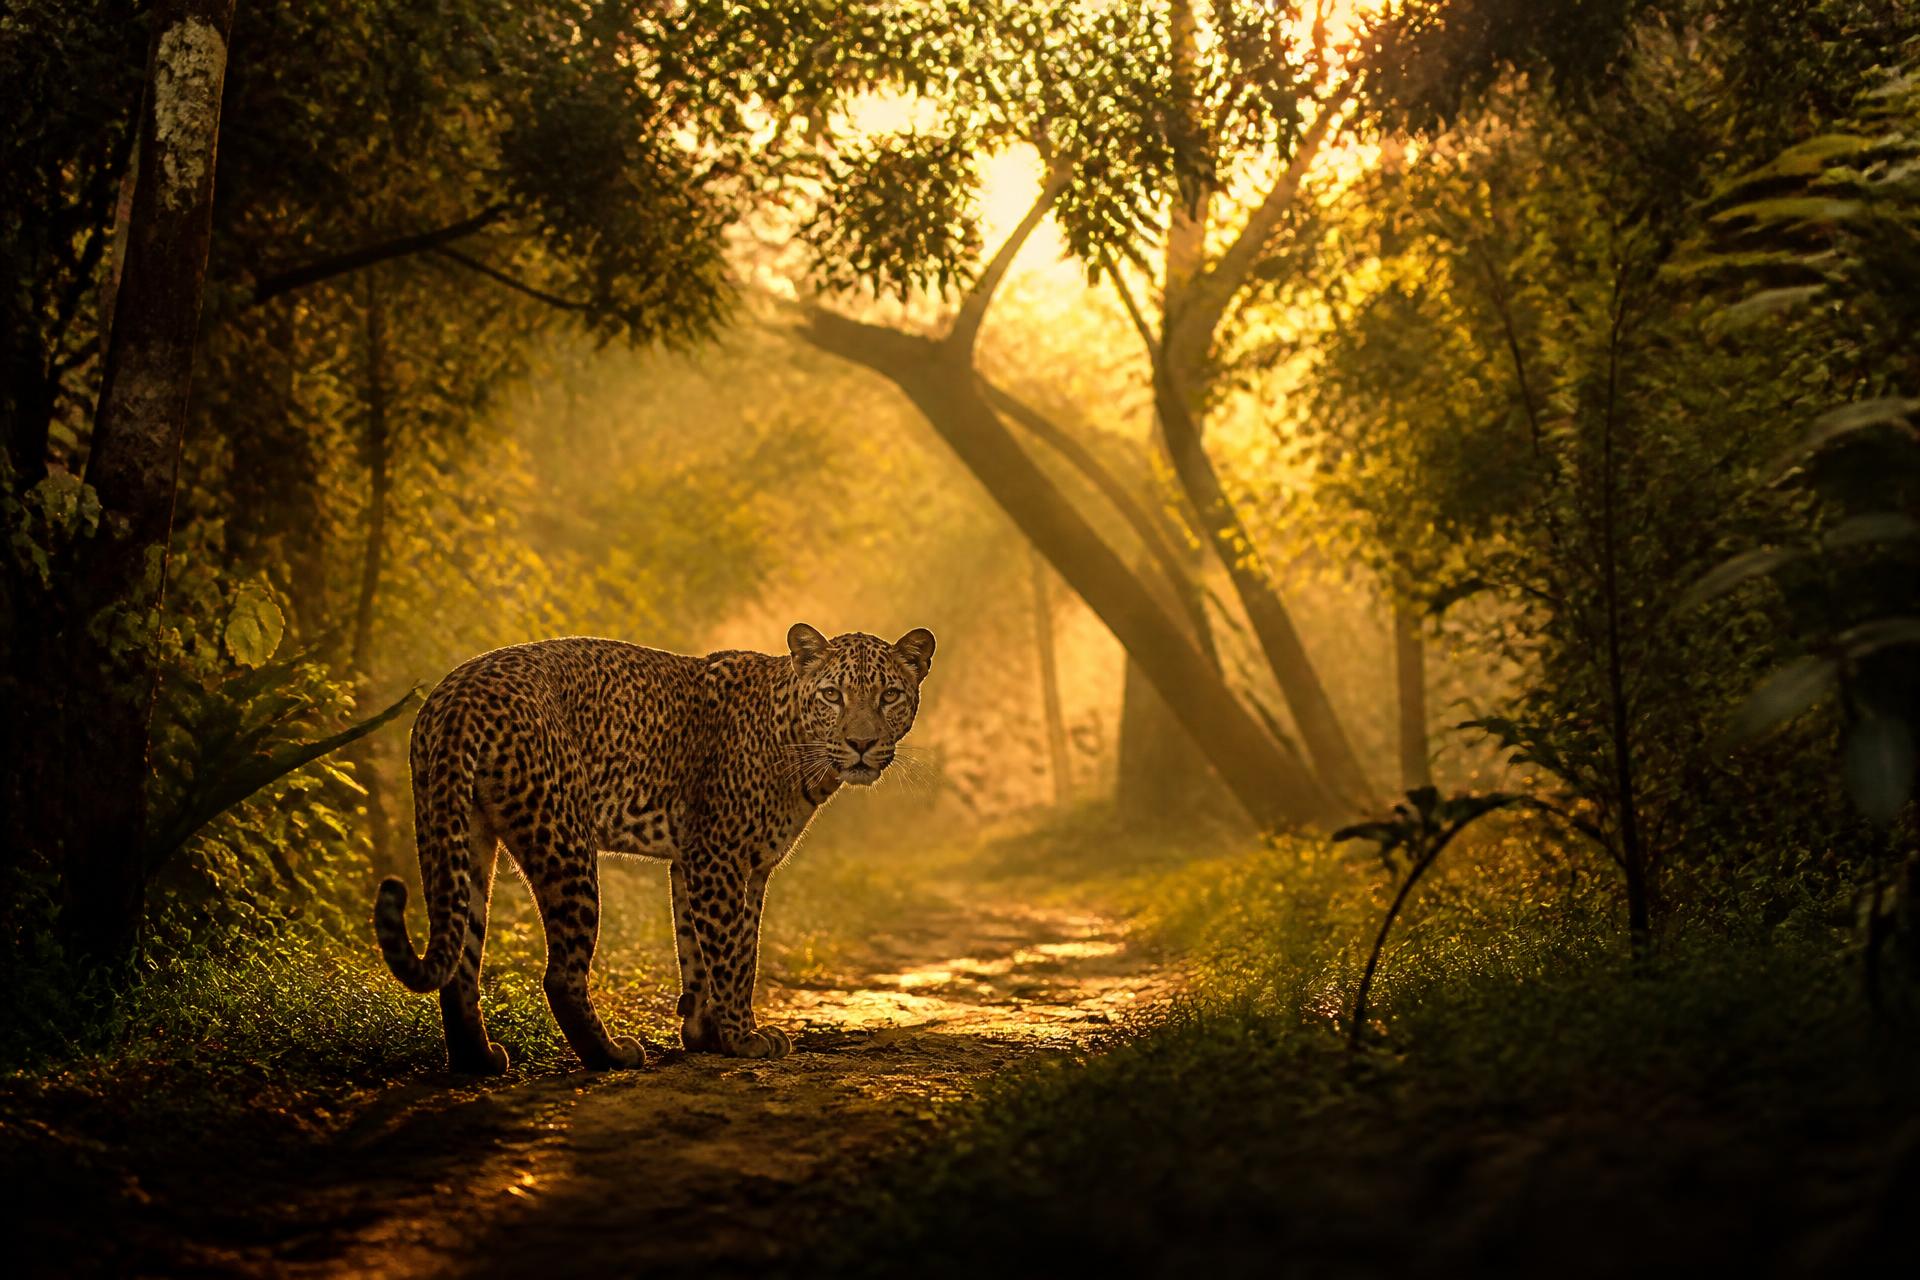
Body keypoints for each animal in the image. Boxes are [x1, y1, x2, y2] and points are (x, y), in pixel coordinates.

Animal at [372, 622, 935, 1073]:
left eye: (889, 695)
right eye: (833, 694)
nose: (861, 744)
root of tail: (460, 694)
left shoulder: (711, 865)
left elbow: (708, 949)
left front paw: (708, 1034)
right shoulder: (718, 856)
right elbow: (733, 954)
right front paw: (744, 1038)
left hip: (457, 832)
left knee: (461, 962)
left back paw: (478, 1061)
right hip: (564, 840)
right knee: (560, 975)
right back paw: (612, 1056)